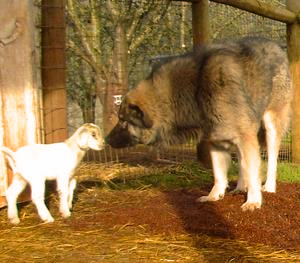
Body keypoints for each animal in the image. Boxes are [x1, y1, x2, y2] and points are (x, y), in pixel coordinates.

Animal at [106, 37, 292, 212]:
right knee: (241, 161)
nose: (106, 140)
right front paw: (214, 196)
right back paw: (240, 187)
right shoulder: (216, 140)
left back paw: (268, 187)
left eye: (123, 121)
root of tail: (275, 46)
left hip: (270, 126)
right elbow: (219, 174)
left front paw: (253, 202)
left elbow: (253, 171)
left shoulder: (245, 136)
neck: (195, 92)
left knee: (272, 159)